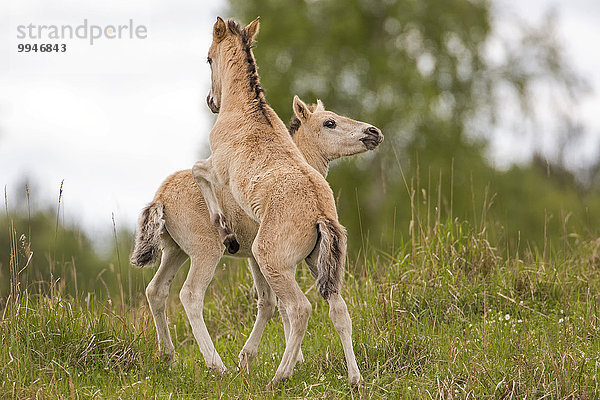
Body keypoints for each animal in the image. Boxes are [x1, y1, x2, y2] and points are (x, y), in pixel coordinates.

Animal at [193, 16, 360, 388]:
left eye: (208, 58)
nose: (211, 101)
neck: (246, 111)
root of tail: (320, 214)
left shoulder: (218, 168)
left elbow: (198, 171)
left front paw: (224, 229)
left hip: (272, 261)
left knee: (300, 309)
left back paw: (279, 376)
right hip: (318, 264)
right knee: (339, 310)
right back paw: (355, 379)